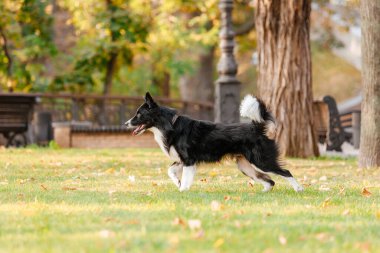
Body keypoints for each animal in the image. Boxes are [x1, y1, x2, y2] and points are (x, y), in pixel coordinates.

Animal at [124, 92, 302, 192]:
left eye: (139, 114)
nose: (125, 124)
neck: (170, 125)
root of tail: (256, 127)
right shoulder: (182, 160)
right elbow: (170, 172)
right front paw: (177, 183)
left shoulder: (189, 160)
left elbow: (186, 179)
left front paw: (183, 190)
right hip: (245, 166)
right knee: (270, 181)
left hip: (261, 160)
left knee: (285, 172)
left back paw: (299, 188)